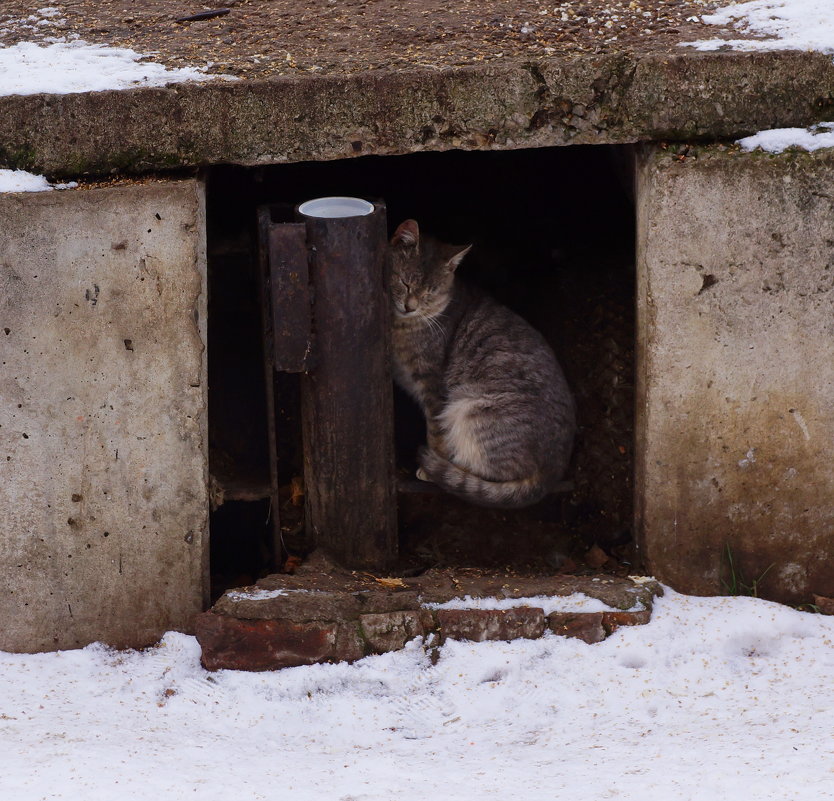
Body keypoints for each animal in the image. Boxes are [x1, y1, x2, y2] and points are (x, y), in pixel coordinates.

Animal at [388, 219, 572, 506]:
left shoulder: (433, 386)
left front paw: (431, 465)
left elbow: (436, 431)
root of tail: (551, 473)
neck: (404, 326)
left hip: (470, 409)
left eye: (430, 293)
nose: (410, 306)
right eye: (405, 283)